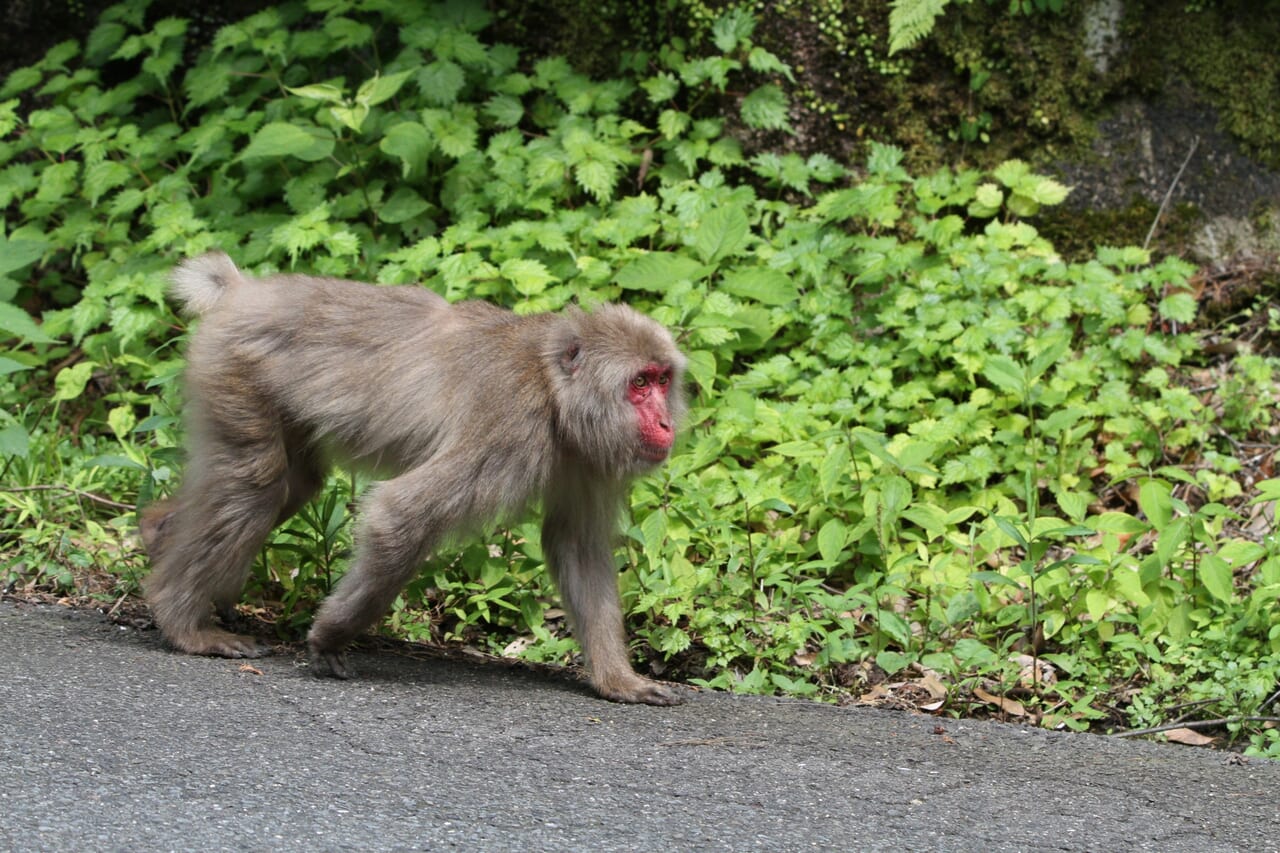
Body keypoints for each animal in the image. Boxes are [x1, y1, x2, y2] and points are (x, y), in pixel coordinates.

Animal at [142, 251, 691, 701]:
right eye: (639, 384)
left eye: (663, 380)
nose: (666, 424)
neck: (555, 393)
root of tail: (241, 290)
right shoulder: (507, 428)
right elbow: (399, 515)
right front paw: (330, 635)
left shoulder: (588, 460)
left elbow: (576, 545)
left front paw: (619, 681)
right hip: (234, 371)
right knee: (254, 481)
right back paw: (181, 620)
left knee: (291, 485)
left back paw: (160, 533)